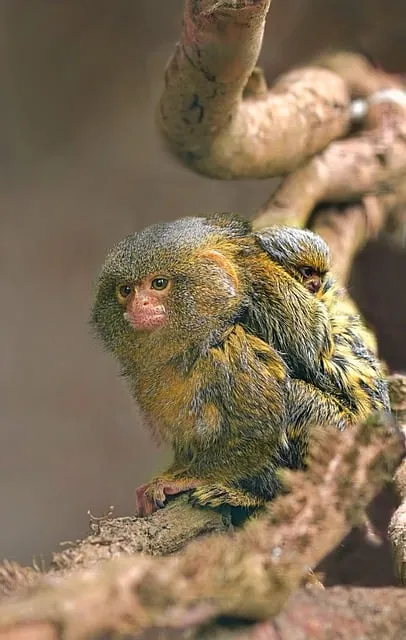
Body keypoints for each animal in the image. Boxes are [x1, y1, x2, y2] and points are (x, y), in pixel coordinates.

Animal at [91, 213, 390, 516]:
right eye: (126, 290)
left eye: (159, 284)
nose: (138, 305)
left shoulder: (235, 344)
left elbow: (262, 426)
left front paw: (190, 477)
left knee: (294, 398)